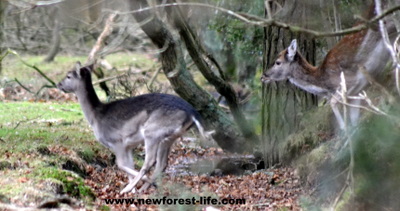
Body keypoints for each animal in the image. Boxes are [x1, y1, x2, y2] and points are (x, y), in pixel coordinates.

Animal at [57, 62, 212, 193]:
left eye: (69, 76)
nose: (58, 84)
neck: (96, 117)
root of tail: (193, 114)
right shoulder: (128, 146)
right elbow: (129, 165)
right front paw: (133, 189)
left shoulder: (117, 141)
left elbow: (120, 164)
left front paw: (129, 188)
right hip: (169, 137)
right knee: (162, 163)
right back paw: (144, 187)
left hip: (153, 132)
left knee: (150, 161)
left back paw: (132, 187)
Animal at [262, 13, 396, 129]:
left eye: (277, 62)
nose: (263, 76)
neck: (326, 86)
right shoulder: (357, 91)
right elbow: (355, 122)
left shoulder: (350, 81)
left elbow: (333, 104)